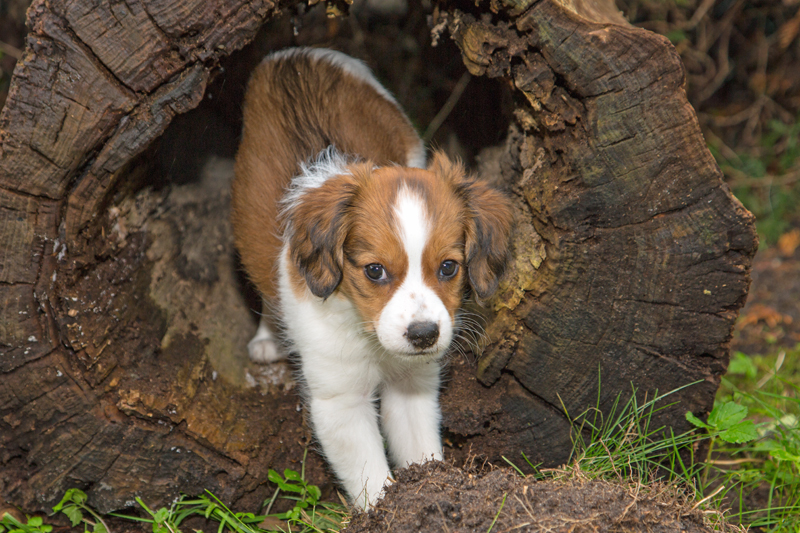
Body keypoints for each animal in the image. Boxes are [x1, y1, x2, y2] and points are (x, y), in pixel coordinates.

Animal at [231, 48, 512, 508]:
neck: (368, 334)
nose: (423, 335)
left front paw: (429, 490)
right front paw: (386, 509)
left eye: (448, 267)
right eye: (375, 271)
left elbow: (420, 449)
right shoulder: (339, 402)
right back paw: (268, 337)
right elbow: (371, 476)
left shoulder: (413, 384)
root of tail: (292, 54)